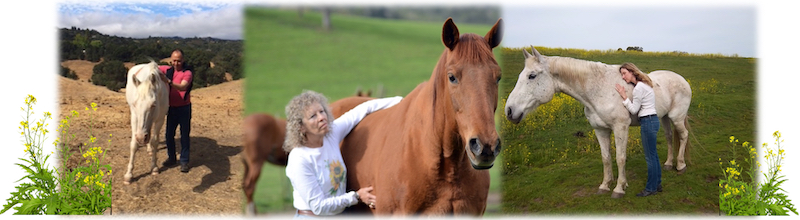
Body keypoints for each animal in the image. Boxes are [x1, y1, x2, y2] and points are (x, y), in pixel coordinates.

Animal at [504, 46, 692, 198]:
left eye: (532, 76)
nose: (510, 111)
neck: (599, 89)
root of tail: (682, 80)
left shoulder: (620, 128)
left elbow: (620, 158)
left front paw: (619, 188)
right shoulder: (600, 130)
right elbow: (606, 158)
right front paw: (605, 185)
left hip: (676, 118)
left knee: (683, 136)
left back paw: (681, 165)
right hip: (665, 117)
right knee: (669, 137)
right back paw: (668, 164)